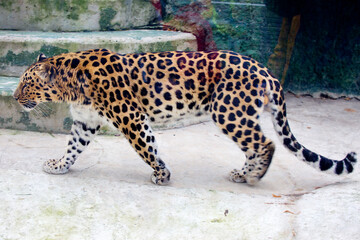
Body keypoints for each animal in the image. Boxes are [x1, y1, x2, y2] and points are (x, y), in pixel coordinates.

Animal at [11, 47, 358, 185]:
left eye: (26, 83)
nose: (14, 97)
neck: (69, 85)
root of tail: (267, 72)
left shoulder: (132, 118)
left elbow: (147, 147)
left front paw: (162, 174)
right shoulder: (86, 121)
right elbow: (72, 148)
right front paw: (59, 166)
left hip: (228, 112)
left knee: (265, 144)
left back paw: (253, 176)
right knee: (255, 146)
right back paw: (242, 173)